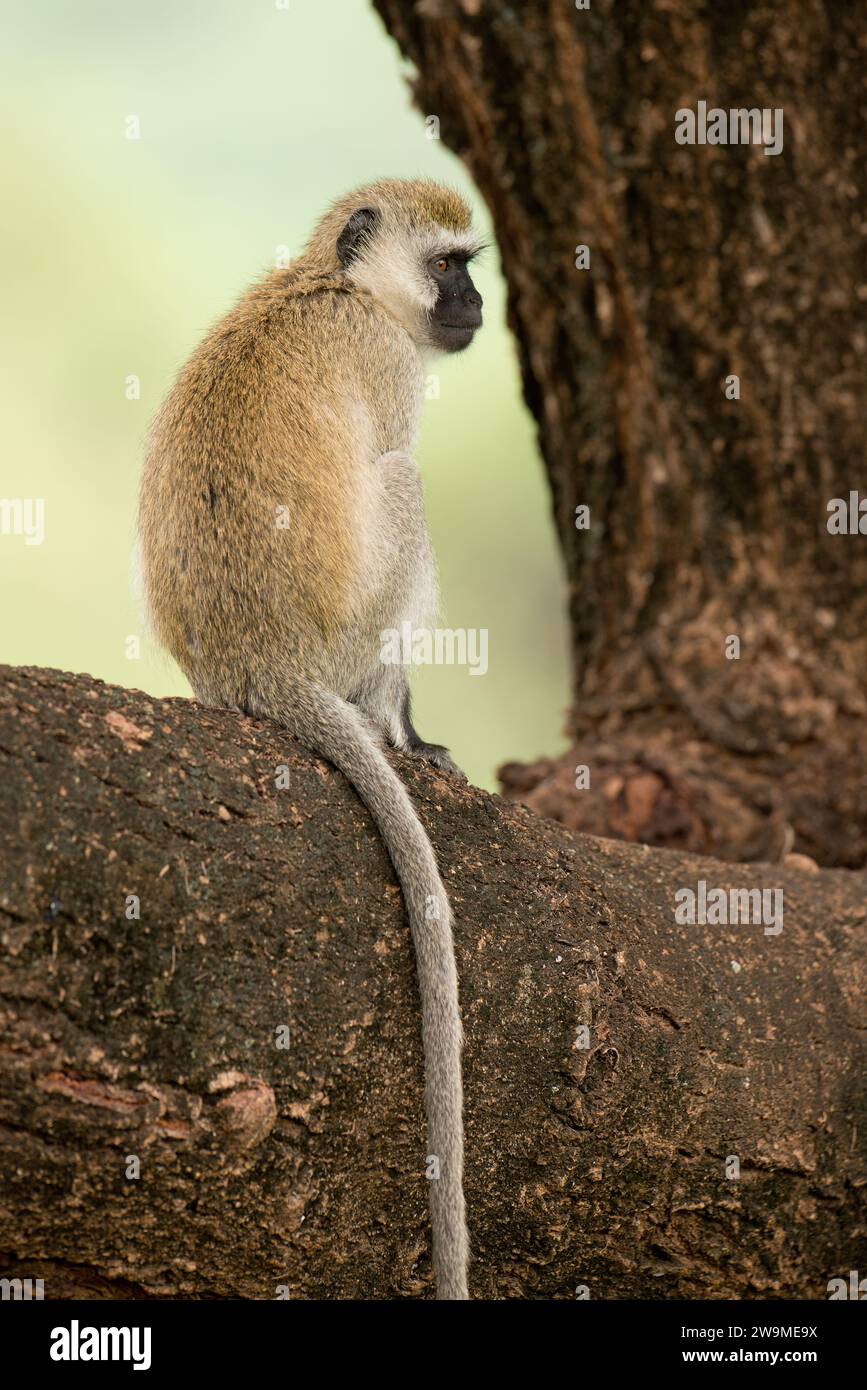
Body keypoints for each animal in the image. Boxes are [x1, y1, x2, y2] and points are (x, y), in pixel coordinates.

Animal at [138, 179, 483, 1295]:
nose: (476, 304)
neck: (333, 285)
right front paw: (412, 728)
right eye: (448, 265)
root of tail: (258, 665)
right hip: (345, 634)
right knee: (400, 480)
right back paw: (390, 719)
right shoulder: (384, 362)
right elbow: (392, 455)